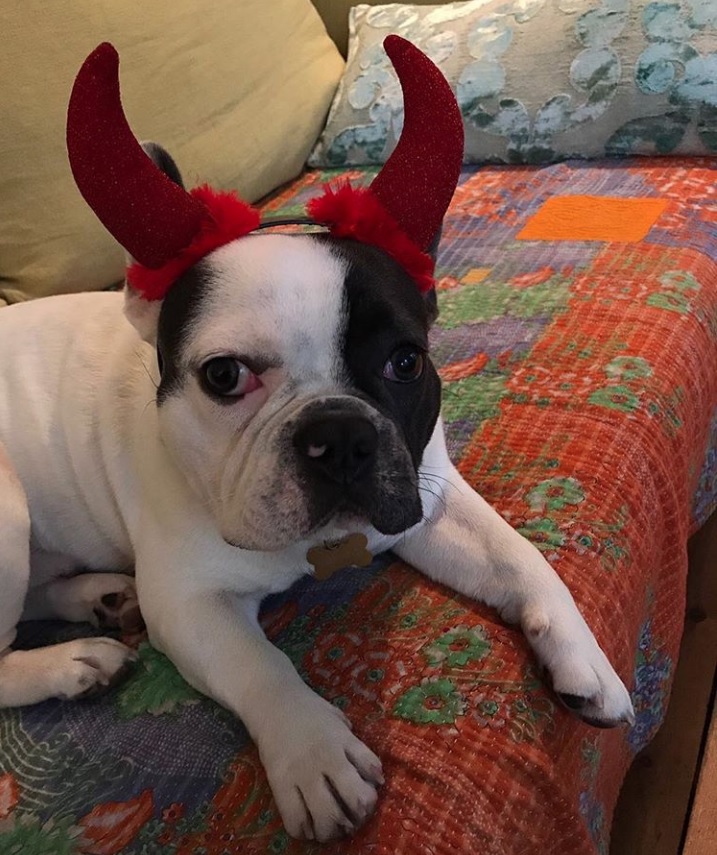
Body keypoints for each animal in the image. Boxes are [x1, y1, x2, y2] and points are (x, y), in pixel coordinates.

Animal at [0, 38, 632, 844]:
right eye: (224, 376)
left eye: (404, 361)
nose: (339, 433)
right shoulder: (191, 603)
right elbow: (262, 666)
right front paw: (315, 753)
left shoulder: (425, 496)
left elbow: (520, 554)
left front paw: (585, 654)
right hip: (8, 506)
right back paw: (72, 661)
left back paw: (102, 598)